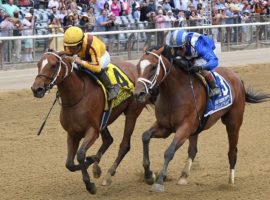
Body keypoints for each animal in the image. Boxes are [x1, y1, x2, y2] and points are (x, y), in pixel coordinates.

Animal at [30, 50, 146, 195]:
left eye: (53, 65)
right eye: (38, 64)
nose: (36, 89)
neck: (77, 95)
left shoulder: (92, 131)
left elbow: (80, 155)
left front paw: (90, 184)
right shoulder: (72, 133)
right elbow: (69, 164)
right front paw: (93, 162)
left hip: (132, 113)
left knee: (124, 145)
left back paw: (108, 175)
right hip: (103, 122)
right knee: (108, 140)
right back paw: (97, 165)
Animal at [133, 46, 270, 192]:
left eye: (153, 67)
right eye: (138, 66)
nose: (138, 94)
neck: (175, 93)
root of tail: (237, 77)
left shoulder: (184, 128)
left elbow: (169, 151)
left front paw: (159, 181)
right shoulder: (165, 127)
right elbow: (145, 136)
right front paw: (148, 175)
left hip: (233, 122)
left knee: (232, 151)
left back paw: (230, 182)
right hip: (196, 128)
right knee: (193, 150)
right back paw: (184, 176)